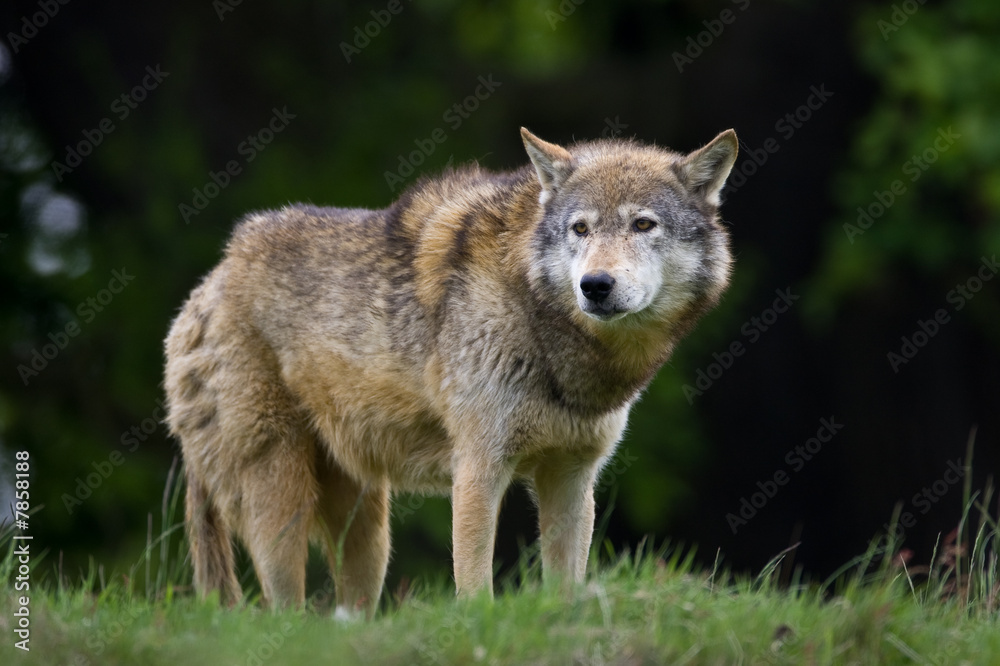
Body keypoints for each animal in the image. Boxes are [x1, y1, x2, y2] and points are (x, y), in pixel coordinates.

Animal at [164, 127, 740, 616]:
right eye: (581, 229)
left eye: (643, 224)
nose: (595, 285)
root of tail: (208, 283)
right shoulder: (479, 468)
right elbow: (475, 590)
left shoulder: (572, 477)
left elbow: (566, 587)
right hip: (282, 504)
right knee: (281, 614)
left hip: (369, 532)